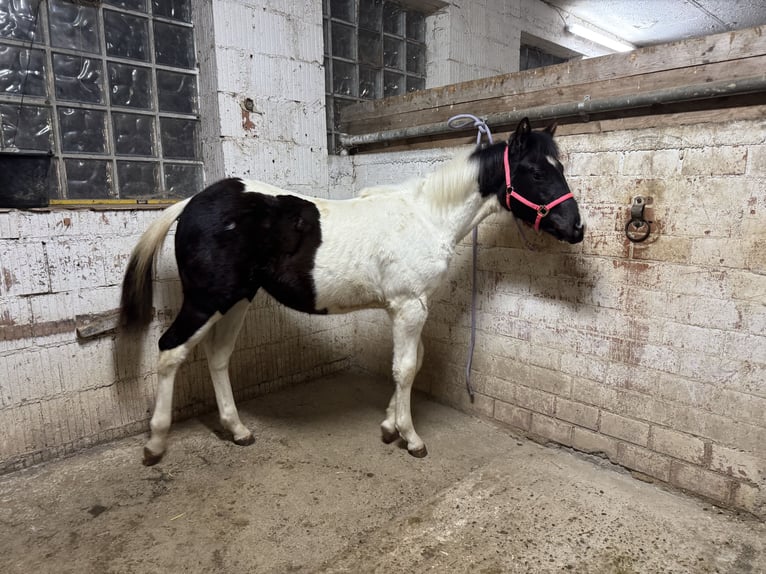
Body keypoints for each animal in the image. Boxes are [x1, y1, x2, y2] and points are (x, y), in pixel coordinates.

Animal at [120, 117, 584, 466]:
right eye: (537, 171)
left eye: (559, 168)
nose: (577, 228)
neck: (427, 217)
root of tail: (190, 203)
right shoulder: (410, 307)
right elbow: (406, 369)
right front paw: (410, 438)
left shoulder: (407, 309)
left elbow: (409, 362)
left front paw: (389, 425)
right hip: (207, 300)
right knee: (170, 350)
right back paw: (155, 445)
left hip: (238, 299)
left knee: (217, 357)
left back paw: (238, 430)